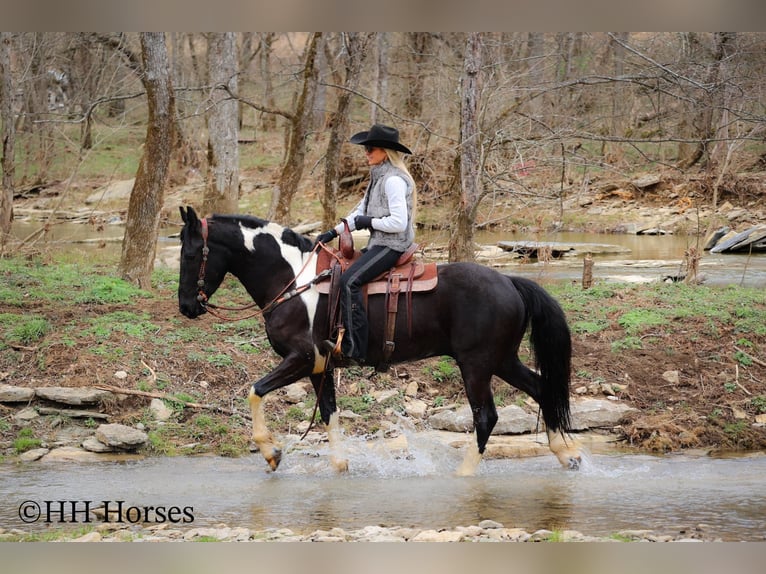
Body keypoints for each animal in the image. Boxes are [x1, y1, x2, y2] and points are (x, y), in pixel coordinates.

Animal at [176, 207, 584, 476]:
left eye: (192, 253)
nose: (186, 307)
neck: (294, 280)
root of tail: (510, 281)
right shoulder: (320, 366)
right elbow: (329, 414)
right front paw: (340, 465)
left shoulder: (302, 358)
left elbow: (255, 391)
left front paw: (271, 451)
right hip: (502, 360)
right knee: (543, 388)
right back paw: (568, 455)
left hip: (477, 365)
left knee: (486, 417)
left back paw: (464, 475)